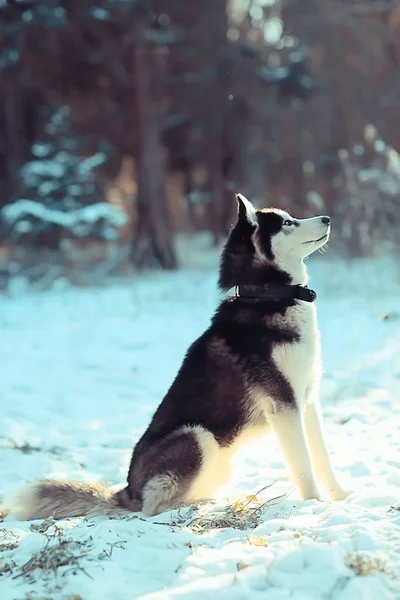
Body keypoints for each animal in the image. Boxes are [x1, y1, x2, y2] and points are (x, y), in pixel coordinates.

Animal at [7, 193, 348, 520]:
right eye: (288, 223)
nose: (327, 218)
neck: (269, 297)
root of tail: (127, 491)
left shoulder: (307, 400)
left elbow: (322, 457)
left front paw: (342, 497)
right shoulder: (283, 404)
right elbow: (303, 463)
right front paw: (315, 502)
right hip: (197, 436)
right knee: (152, 507)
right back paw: (198, 507)